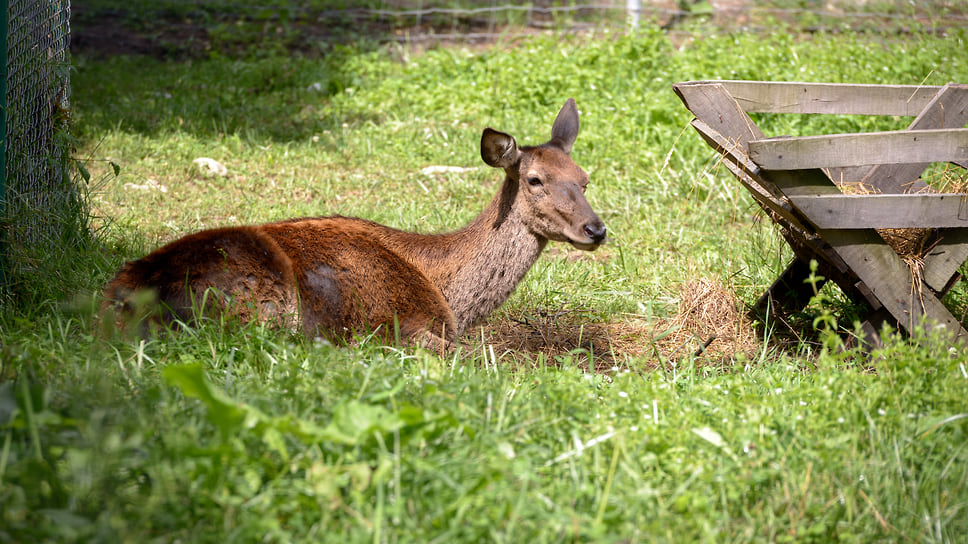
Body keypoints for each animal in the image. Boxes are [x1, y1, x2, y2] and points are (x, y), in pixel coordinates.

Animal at [104, 99, 604, 350]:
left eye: (584, 178)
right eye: (535, 180)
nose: (596, 230)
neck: (447, 292)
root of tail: (123, 303)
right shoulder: (406, 325)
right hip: (259, 300)